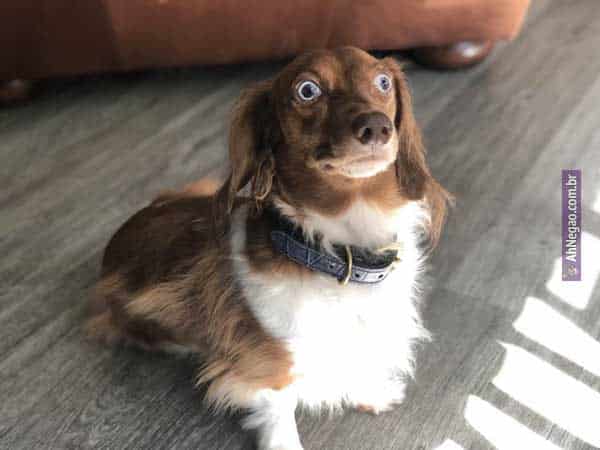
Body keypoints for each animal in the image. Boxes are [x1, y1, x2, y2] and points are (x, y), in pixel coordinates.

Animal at [87, 47, 451, 450]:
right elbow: (280, 413)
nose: (376, 127)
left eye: (383, 82)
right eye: (307, 90)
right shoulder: (271, 365)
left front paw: (370, 393)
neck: (338, 253)